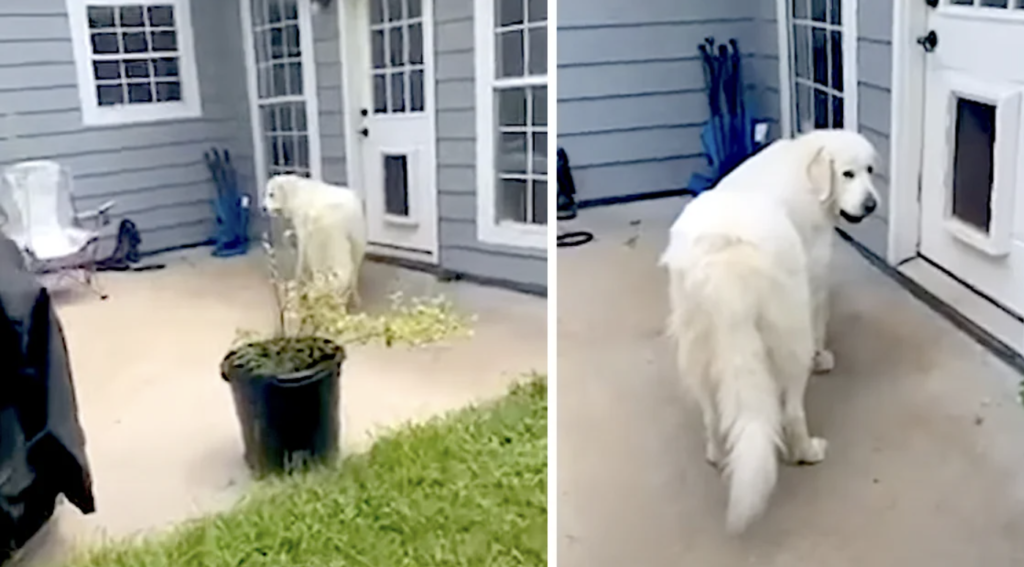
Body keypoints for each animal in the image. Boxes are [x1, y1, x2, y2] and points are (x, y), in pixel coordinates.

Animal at [262, 172, 366, 302]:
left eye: (271, 194)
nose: (263, 208)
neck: (295, 193)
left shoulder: (303, 233)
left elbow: (301, 260)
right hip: (357, 243)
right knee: (354, 270)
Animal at [663, 127, 880, 528]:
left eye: (870, 170)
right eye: (848, 174)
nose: (872, 204)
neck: (807, 167)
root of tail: (725, 256)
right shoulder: (815, 275)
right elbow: (820, 319)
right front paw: (821, 357)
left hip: (696, 340)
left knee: (711, 411)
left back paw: (718, 453)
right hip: (786, 334)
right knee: (792, 410)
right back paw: (807, 451)